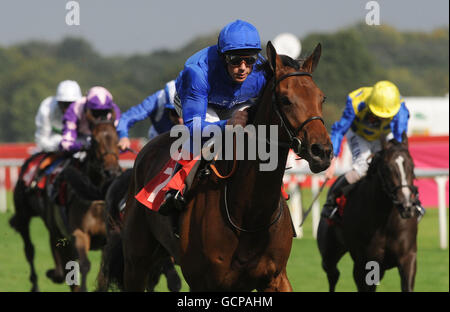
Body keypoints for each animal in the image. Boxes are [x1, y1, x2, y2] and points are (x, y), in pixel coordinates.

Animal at [9, 109, 120, 290]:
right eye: (95, 141)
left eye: (117, 139)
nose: (112, 171)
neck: (94, 194)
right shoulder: (77, 233)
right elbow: (83, 266)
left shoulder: (107, 239)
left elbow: (104, 275)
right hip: (27, 216)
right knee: (30, 250)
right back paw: (38, 282)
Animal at [105, 40, 330, 292]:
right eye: (285, 99)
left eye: (321, 98)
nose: (322, 151)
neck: (249, 214)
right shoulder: (203, 282)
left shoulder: (276, 277)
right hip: (136, 261)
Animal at [316, 133, 418, 292]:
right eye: (388, 168)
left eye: (412, 166)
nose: (407, 206)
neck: (385, 222)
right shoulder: (364, 262)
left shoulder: (408, 257)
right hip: (329, 253)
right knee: (333, 274)